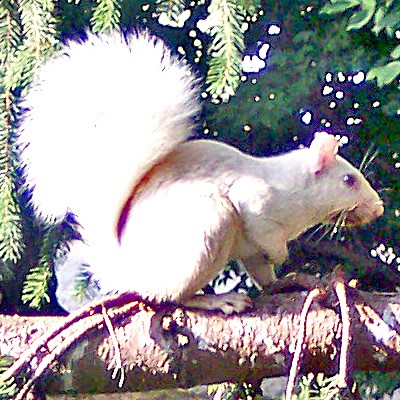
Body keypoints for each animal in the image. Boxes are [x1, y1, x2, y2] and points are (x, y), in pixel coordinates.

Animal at [19, 31, 384, 312]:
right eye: (348, 180)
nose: (378, 209)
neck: (300, 201)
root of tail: (130, 271)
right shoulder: (255, 203)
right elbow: (266, 235)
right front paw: (283, 256)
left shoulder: (252, 253)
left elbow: (262, 271)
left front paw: (283, 281)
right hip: (211, 223)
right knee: (169, 297)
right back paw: (217, 301)